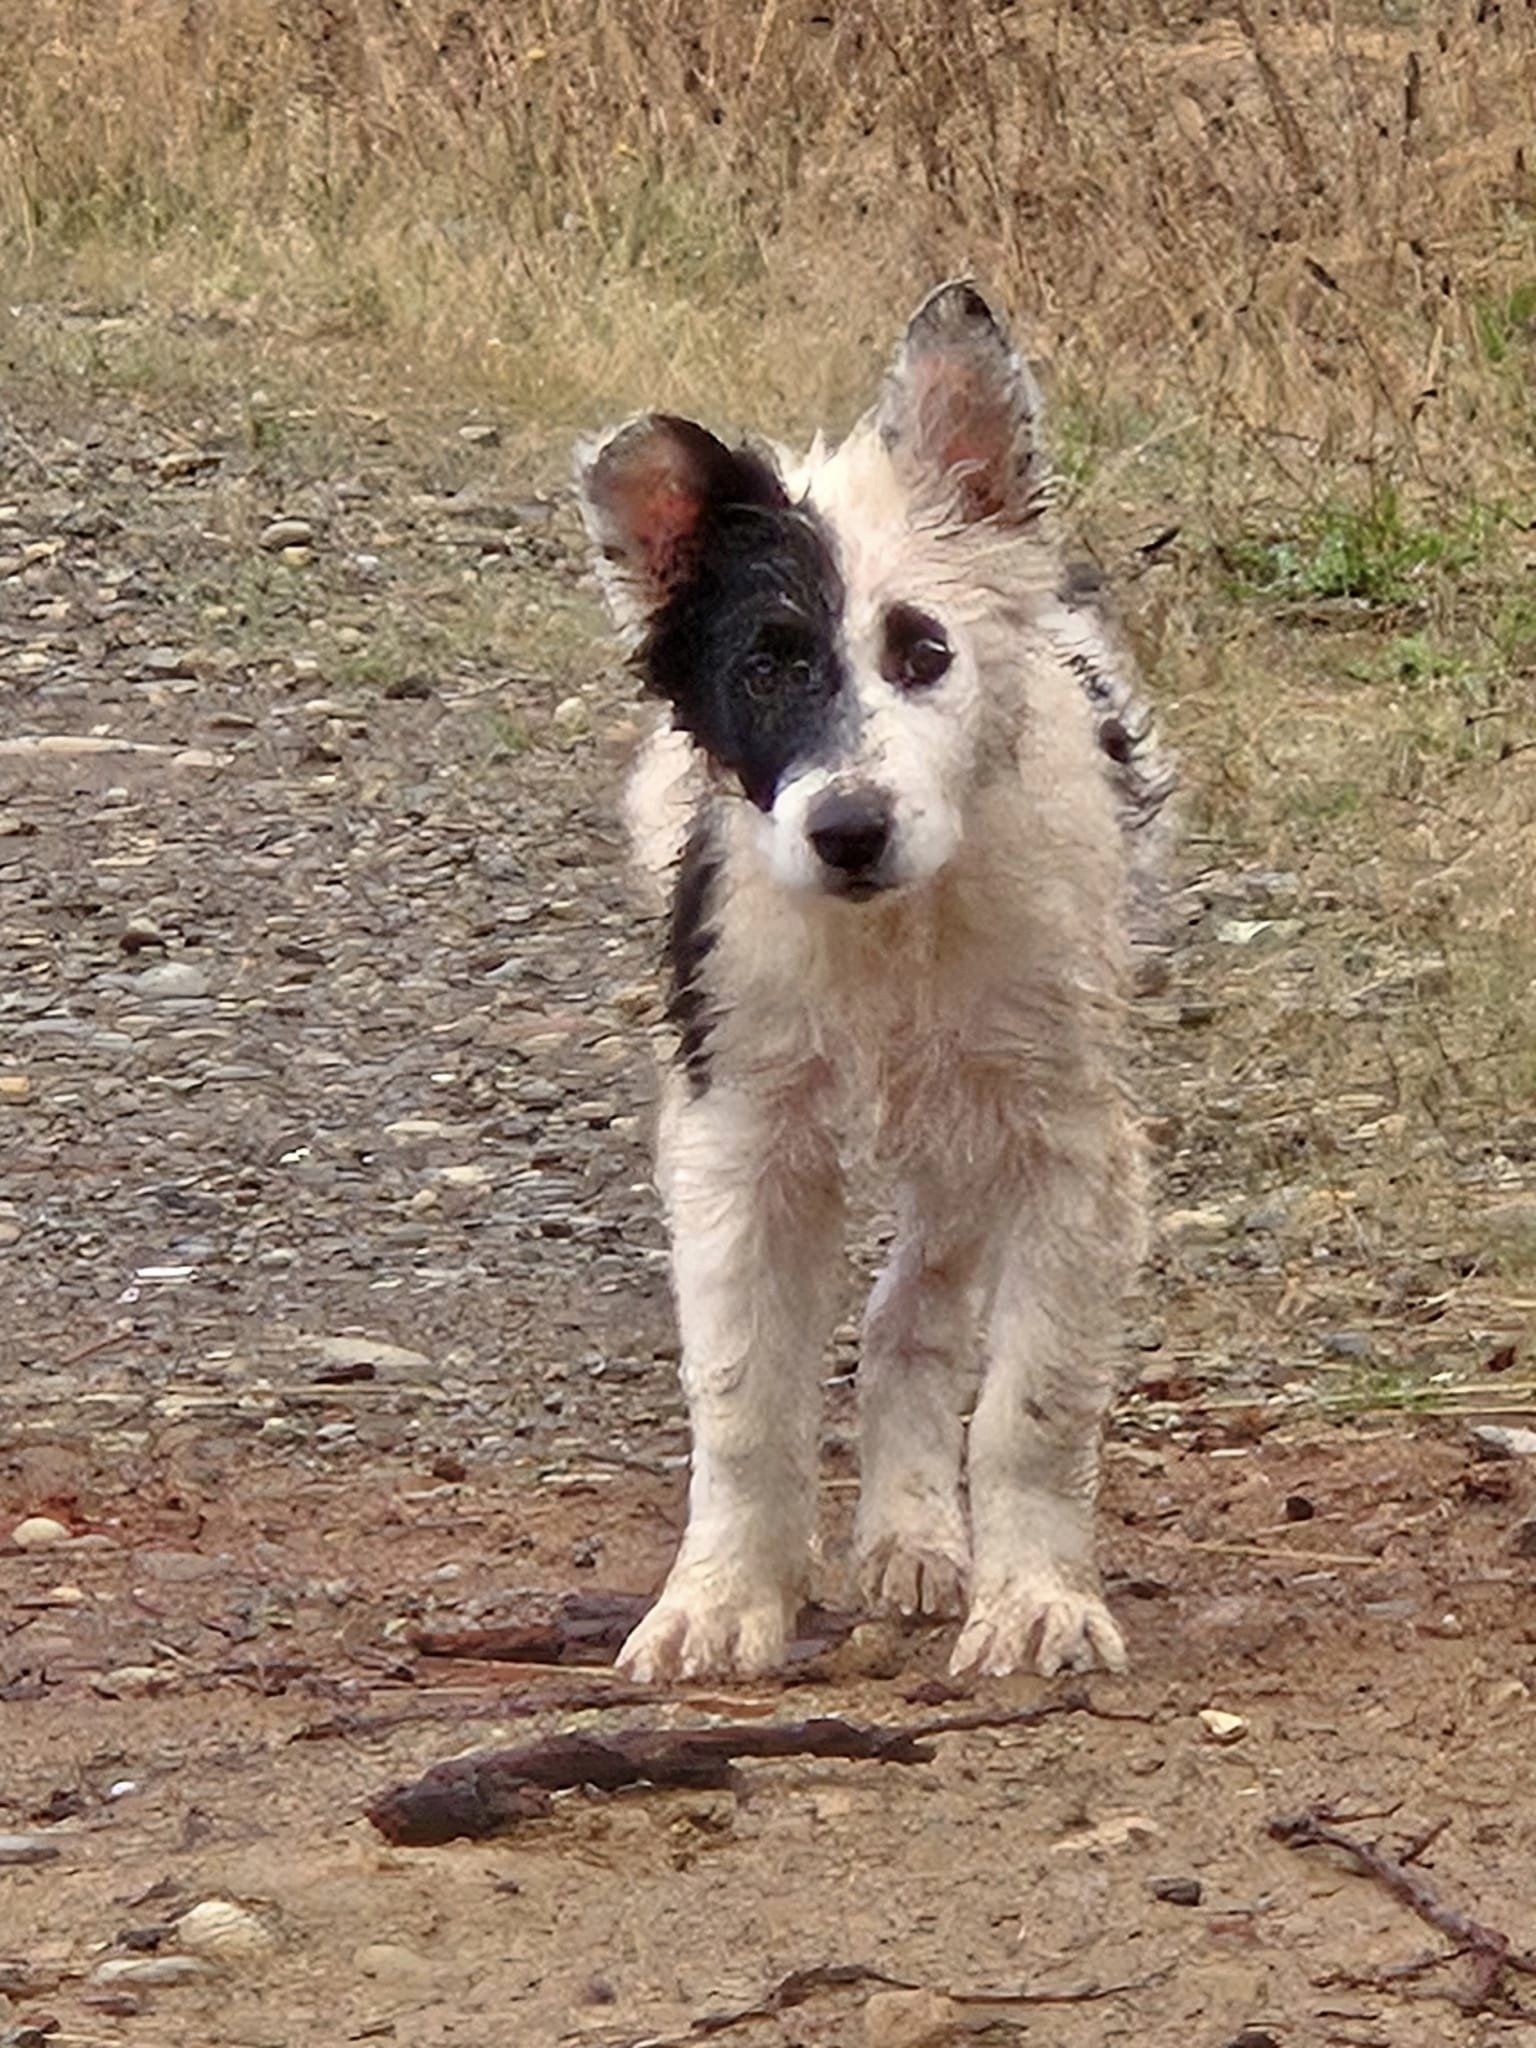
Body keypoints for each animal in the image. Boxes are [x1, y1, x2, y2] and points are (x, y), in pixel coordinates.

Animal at [581, 280, 1179, 1679]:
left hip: (966, 1117)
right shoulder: (735, 1131)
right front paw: (718, 1599)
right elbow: (743, 1397)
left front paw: (1036, 1600)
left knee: (914, 1313)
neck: (893, 932)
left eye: (924, 652)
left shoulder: (1068, 1137)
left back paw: (916, 1537)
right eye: (764, 665)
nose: (847, 829)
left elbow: (1032, 1403)